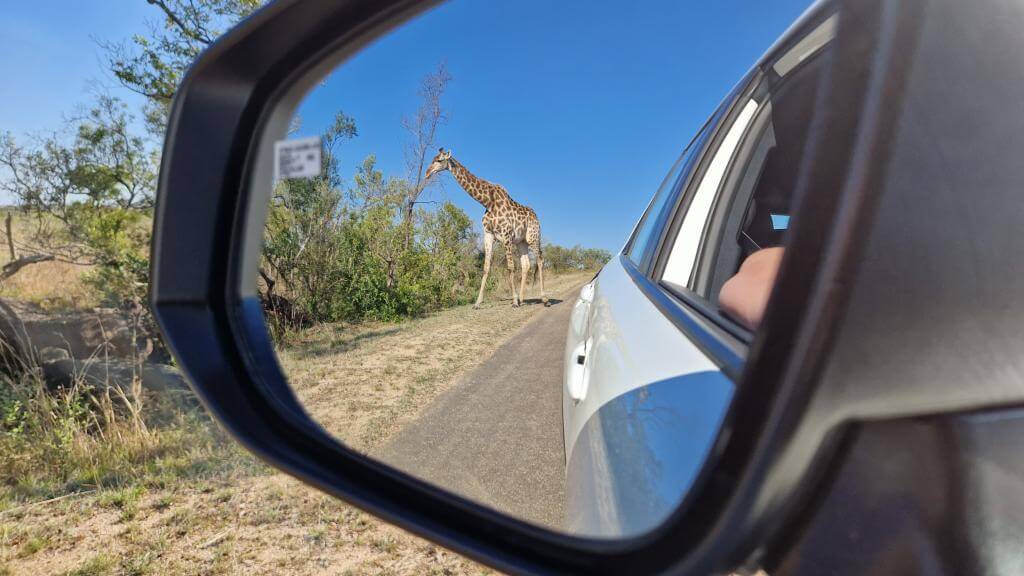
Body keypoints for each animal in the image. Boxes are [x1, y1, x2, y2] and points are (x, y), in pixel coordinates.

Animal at [425, 150, 552, 307]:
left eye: (439, 160)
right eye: (433, 159)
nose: (427, 173)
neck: (487, 202)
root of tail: (536, 217)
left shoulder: (506, 235)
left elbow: (510, 267)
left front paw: (514, 301)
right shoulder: (488, 234)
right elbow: (486, 268)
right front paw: (477, 302)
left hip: (533, 237)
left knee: (540, 260)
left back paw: (544, 299)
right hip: (521, 242)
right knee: (526, 264)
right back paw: (523, 299)